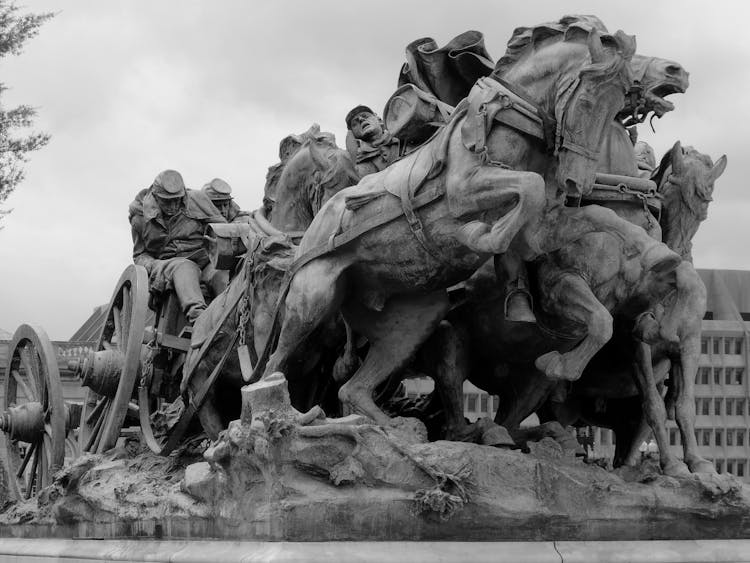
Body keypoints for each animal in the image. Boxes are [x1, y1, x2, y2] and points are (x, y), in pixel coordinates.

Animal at [258, 22, 680, 428]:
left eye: (614, 105)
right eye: (590, 101)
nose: (577, 180)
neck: (509, 117)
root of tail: (312, 232)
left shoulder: (540, 231)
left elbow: (597, 222)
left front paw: (659, 255)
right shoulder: (465, 191)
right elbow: (529, 190)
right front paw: (482, 235)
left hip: (413, 319)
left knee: (352, 389)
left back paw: (391, 429)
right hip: (312, 297)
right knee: (274, 369)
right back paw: (291, 417)